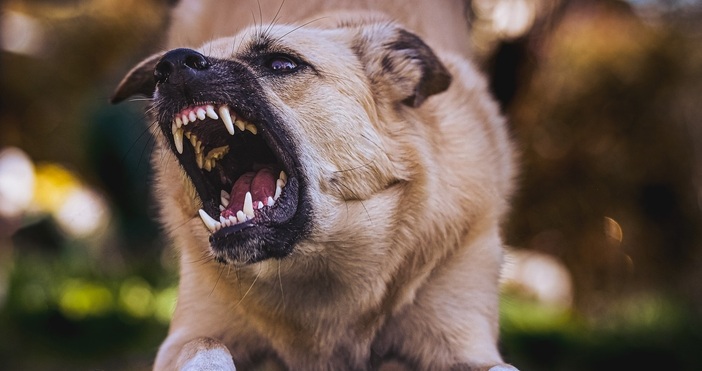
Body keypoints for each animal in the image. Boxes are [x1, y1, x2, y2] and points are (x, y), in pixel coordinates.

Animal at [111, 1, 516, 370]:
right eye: (164, 69)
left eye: (281, 63)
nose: (171, 65)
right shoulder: (188, 335)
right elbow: (208, 347)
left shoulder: (467, 342)